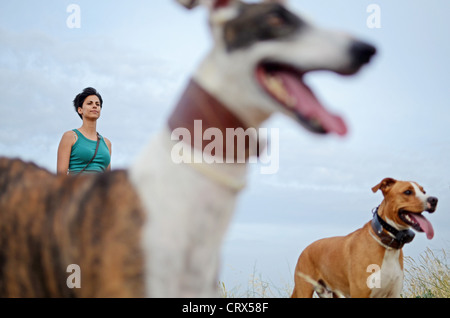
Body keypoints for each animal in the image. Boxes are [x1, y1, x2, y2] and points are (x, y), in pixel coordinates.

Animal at [292, 178, 436, 296]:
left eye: (424, 191)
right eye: (407, 192)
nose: (434, 200)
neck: (387, 244)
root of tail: (305, 249)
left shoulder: (393, 293)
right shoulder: (360, 293)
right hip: (304, 289)